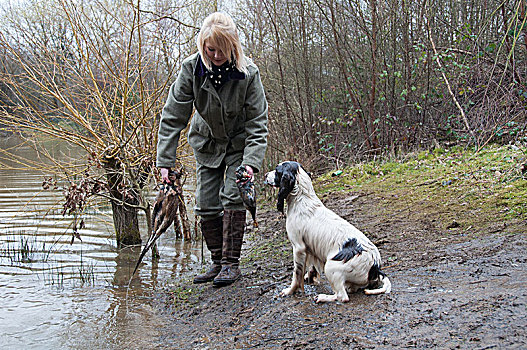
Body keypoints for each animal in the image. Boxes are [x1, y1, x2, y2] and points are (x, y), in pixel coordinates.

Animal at [264, 161, 392, 300]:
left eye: (277, 170)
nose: (265, 174)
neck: (302, 199)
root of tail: (375, 267)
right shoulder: (310, 248)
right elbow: (311, 268)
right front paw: (310, 278)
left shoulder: (298, 247)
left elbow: (296, 274)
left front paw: (290, 291)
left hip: (330, 267)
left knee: (342, 296)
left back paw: (322, 297)